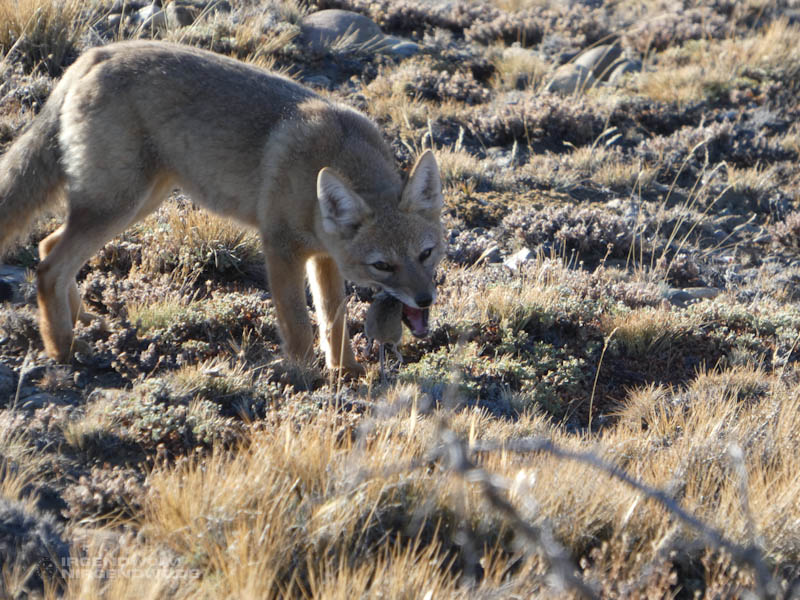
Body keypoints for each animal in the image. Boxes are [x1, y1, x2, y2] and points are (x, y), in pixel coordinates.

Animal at [0, 41, 445, 376]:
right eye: (382, 265)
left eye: (427, 254)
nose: (425, 300)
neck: (336, 150)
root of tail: (95, 54)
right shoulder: (281, 249)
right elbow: (300, 327)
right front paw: (307, 377)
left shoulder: (324, 257)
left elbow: (333, 322)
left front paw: (346, 372)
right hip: (117, 205)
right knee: (49, 267)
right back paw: (63, 349)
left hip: (137, 202)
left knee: (48, 246)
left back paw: (82, 322)